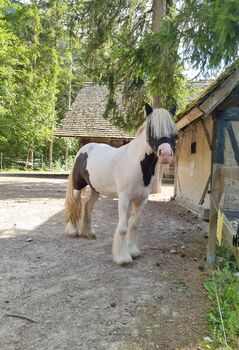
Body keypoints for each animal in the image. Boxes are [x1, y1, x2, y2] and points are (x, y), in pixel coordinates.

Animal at [64, 103, 177, 266]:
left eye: (174, 132)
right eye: (151, 129)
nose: (166, 154)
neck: (136, 163)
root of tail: (84, 150)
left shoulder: (141, 200)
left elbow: (134, 224)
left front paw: (133, 251)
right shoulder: (124, 198)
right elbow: (123, 227)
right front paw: (123, 258)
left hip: (95, 190)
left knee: (88, 207)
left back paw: (89, 233)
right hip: (78, 187)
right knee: (75, 205)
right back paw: (73, 231)